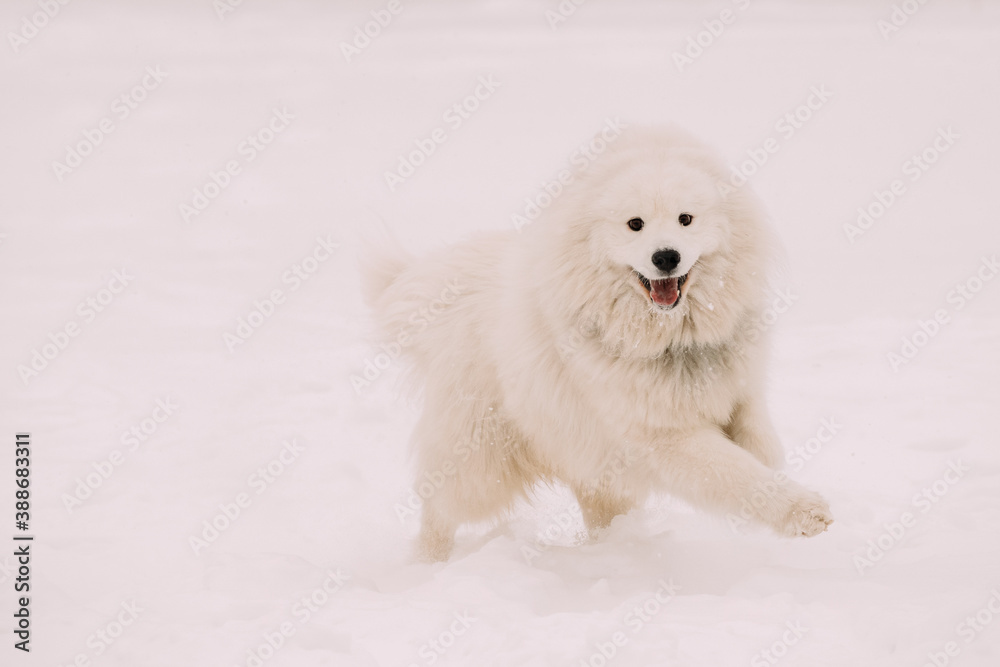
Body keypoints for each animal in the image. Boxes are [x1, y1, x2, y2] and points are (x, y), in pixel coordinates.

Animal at [364, 124, 832, 560]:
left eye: (686, 219)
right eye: (634, 224)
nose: (666, 257)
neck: (673, 342)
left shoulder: (742, 389)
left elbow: (759, 440)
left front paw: (772, 477)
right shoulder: (665, 438)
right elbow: (737, 474)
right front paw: (805, 511)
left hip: (591, 463)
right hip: (480, 463)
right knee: (440, 511)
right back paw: (427, 566)